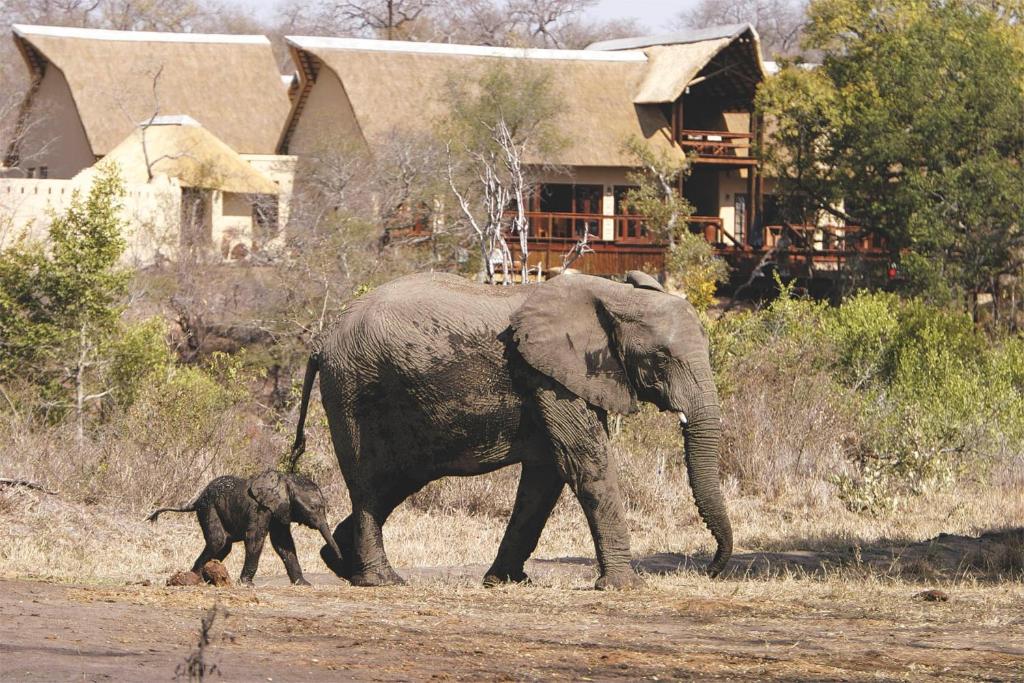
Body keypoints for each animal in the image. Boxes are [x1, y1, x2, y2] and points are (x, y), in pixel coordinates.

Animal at [146, 471, 342, 589]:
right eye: (314, 508)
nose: (340, 559)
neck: (283, 480)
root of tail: (196, 500)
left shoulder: (279, 509)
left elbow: (283, 543)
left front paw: (304, 584)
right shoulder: (259, 509)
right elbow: (255, 538)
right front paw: (247, 585)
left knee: (223, 546)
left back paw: (208, 578)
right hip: (209, 508)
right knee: (218, 541)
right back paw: (195, 579)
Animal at [292, 270, 733, 589]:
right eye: (661, 359)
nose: (709, 569)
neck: (613, 295)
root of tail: (322, 341)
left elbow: (546, 477)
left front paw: (505, 582)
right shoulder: (546, 376)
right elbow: (585, 464)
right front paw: (624, 587)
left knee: (392, 484)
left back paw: (341, 564)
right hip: (354, 393)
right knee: (369, 484)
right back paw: (381, 581)